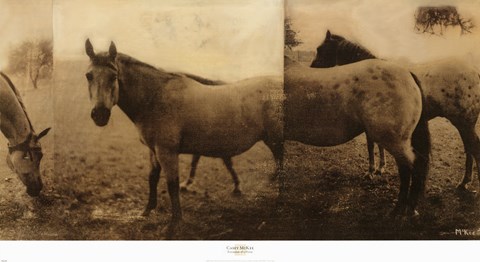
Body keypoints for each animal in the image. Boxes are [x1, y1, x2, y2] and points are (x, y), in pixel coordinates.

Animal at [84, 39, 284, 233]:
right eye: (89, 76)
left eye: (113, 76)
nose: (100, 114)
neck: (155, 97)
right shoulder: (154, 150)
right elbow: (152, 178)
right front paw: (147, 211)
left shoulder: (167, 152)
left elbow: (172, 184)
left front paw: (175, 223)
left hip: (275, 141)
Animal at [284, 55, 432, 217]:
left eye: (321, 52)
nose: (314, 65)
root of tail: (408, 74)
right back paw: (410, 208)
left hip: (396, 143)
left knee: (409, 170)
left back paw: (400, 209)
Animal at [312, 30, 480, 192]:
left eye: (320, 49)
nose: (312, 68)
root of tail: (474, 72)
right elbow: (379, 145)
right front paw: (381, 167)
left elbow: (370, 145)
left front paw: (371, 171)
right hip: (464, 124)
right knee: (469, 149)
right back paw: (464, 182)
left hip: (464, 123)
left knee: (473, 148)